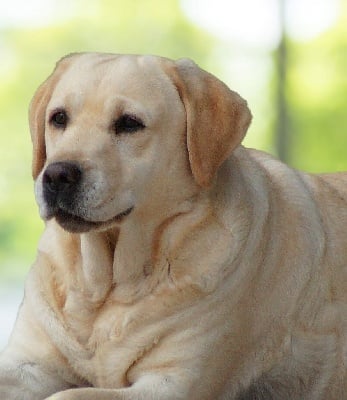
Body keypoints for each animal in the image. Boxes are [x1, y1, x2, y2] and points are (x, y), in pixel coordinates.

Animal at [0, 54, 346, 400]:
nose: (57, 175)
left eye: (129, 123)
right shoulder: (29, 364)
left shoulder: (170, 384)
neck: (106, 286)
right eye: (59, 118)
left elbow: (66, 394)